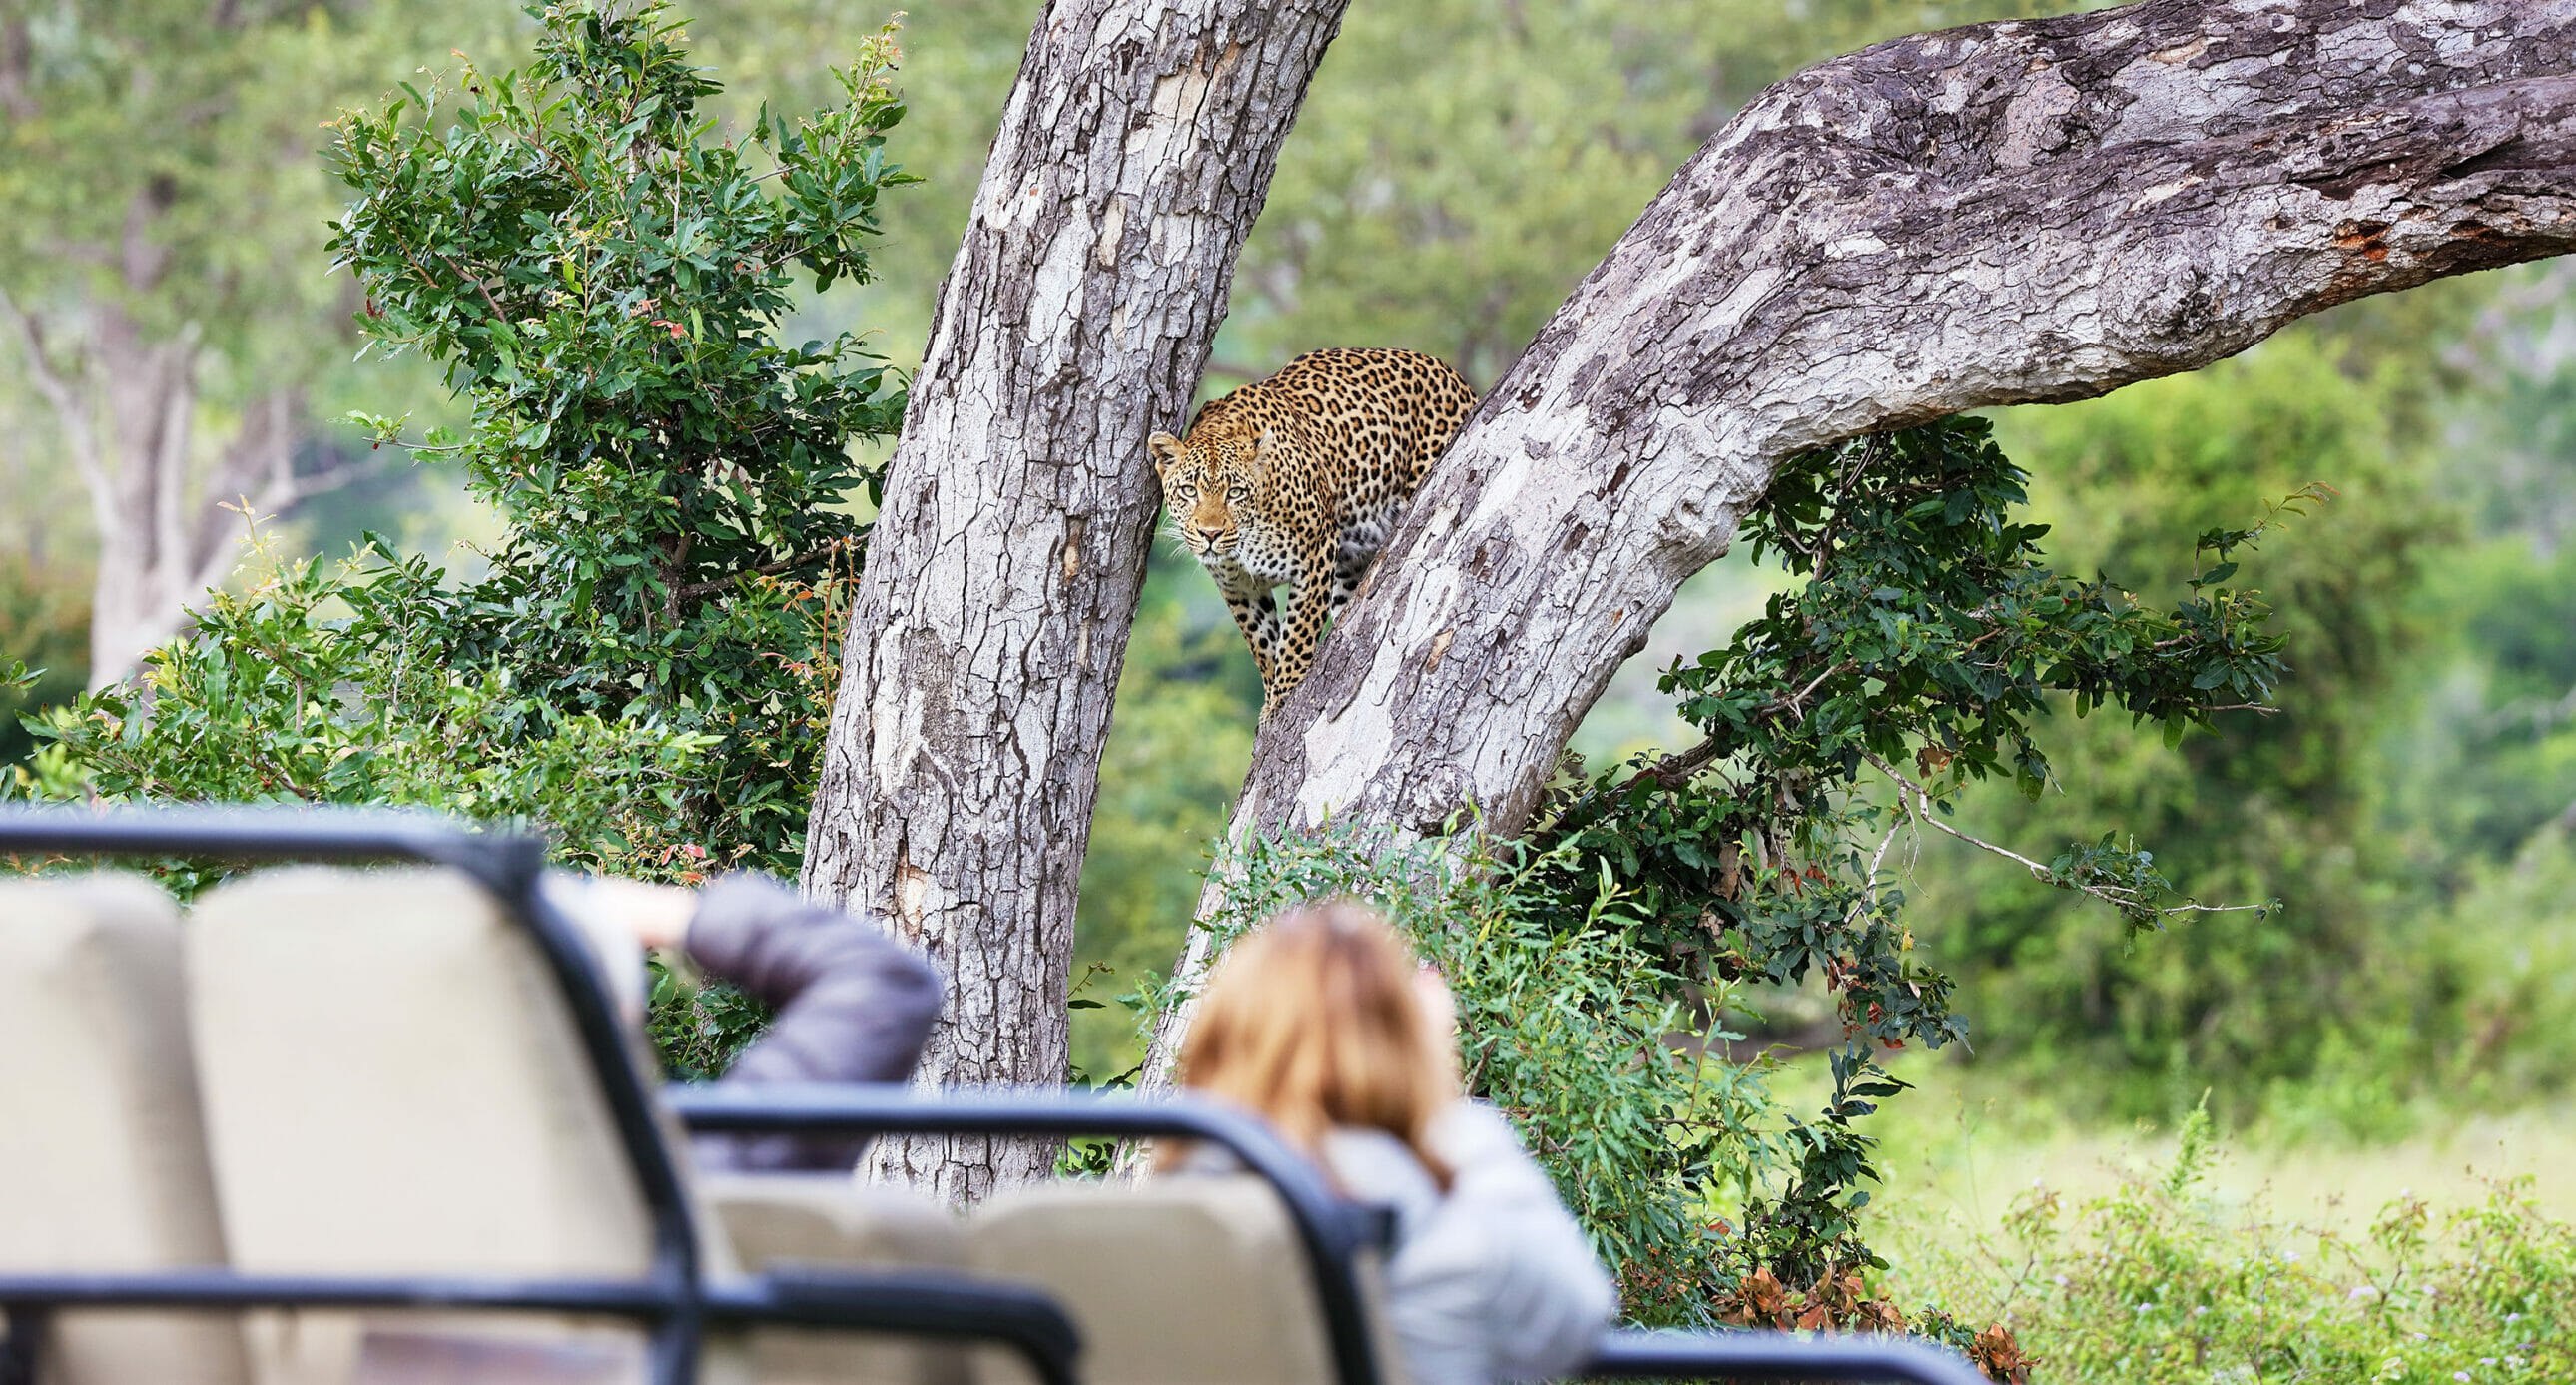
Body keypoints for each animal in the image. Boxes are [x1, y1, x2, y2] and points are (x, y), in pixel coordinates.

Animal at [1148, 345, 1473, 715]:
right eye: (1189, 491)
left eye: (1235, 493)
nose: (1210, 534)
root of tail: (1451, 373)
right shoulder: (1237, 586)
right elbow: (1261, 641)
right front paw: (1270, 698)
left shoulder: (1315, 554)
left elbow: (1297, 634)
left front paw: (1284, 695)